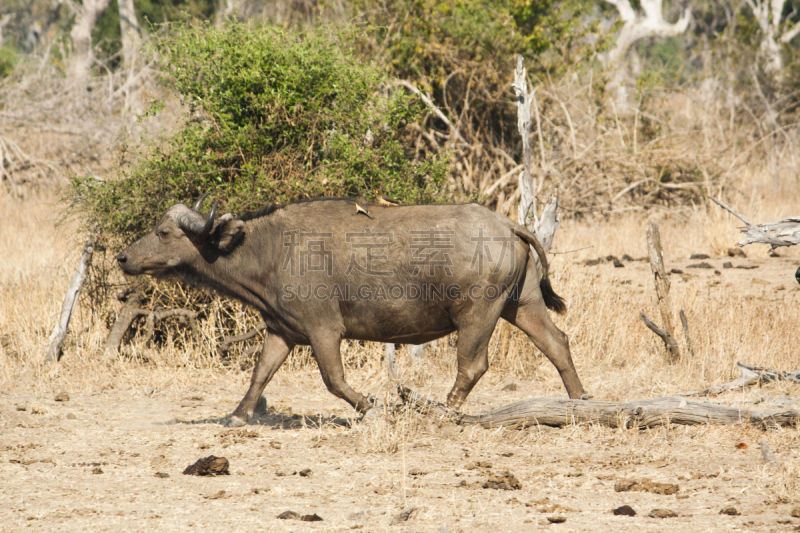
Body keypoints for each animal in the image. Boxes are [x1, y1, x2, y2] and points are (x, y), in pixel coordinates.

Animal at [115, 195, 584, 424]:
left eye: (164, 233)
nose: (123, 258)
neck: (270, 250)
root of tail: (507, 224)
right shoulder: (281, 331)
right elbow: (260, 373)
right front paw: (237, 415)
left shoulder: (324, 331)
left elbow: (334, 381)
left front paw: (371, 407)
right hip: (521, 305)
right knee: (557, 343)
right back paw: (580, 401)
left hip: (478, 314)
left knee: (472, 366)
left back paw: (444, 412)